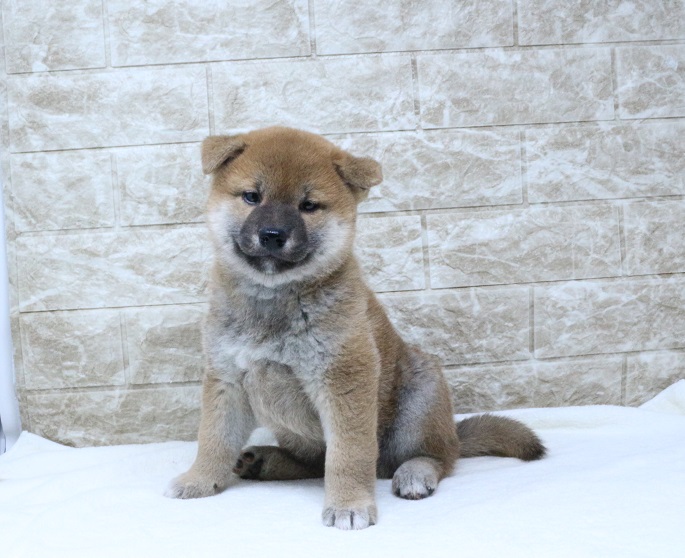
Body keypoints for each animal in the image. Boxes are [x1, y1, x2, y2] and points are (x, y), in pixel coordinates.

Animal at [167, 124, 544, 532]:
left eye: (308, 206)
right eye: (252, 197)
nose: (272, 234)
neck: (274, 299)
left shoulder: (344, 380)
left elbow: (347, 456)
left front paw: (349, 505)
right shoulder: (227, 378)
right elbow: (214, 438)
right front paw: (199, 479)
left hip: (419, 402)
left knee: (437, 456)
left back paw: (415, 473)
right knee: (313, 461)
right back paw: (264, 461)